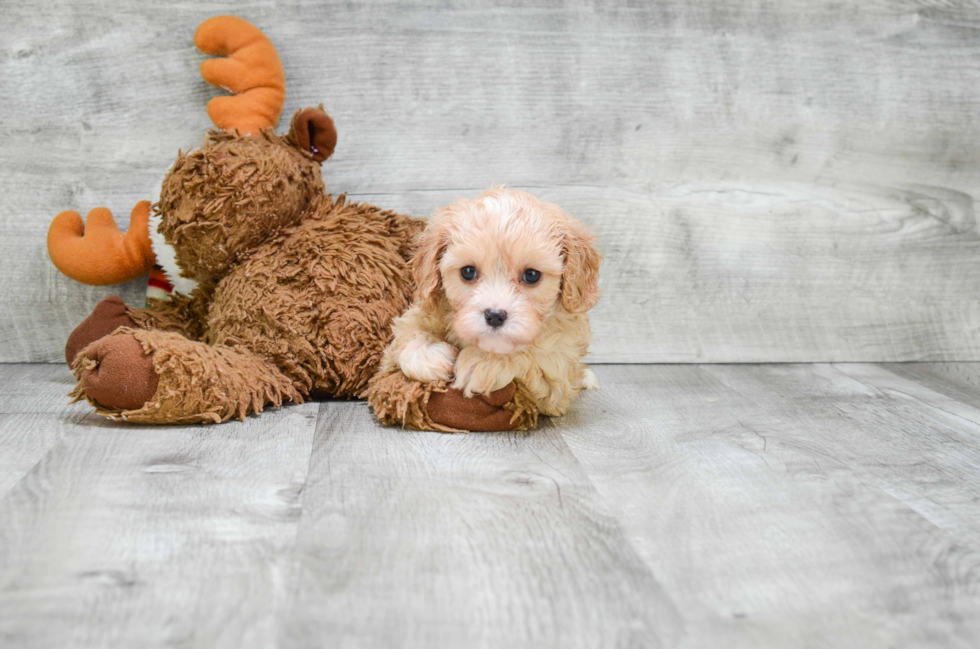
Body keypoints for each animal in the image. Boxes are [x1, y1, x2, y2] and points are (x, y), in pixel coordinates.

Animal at [378, 190, 600, 418]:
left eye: (531, 275)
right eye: (468, 272)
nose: (495, 315)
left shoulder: (556, 377)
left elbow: (529, 357)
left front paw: (483, 361)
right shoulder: (418, 315)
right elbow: (408, 335)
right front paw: (428, 354)